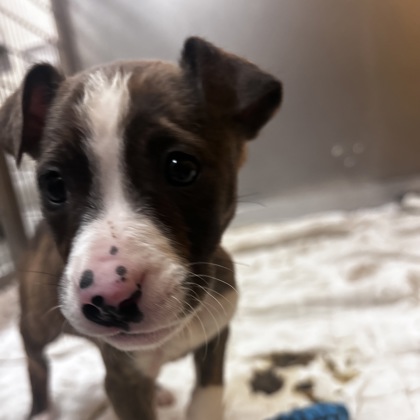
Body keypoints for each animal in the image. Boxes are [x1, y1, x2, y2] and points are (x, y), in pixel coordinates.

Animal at [0, 37, 282, 420]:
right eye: (54, 185)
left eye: (181, 168)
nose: (109, 300)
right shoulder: (123, 382)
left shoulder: (215, 335)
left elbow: (208, 394)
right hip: (39, 317)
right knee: (33, 352)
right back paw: (41, 408)